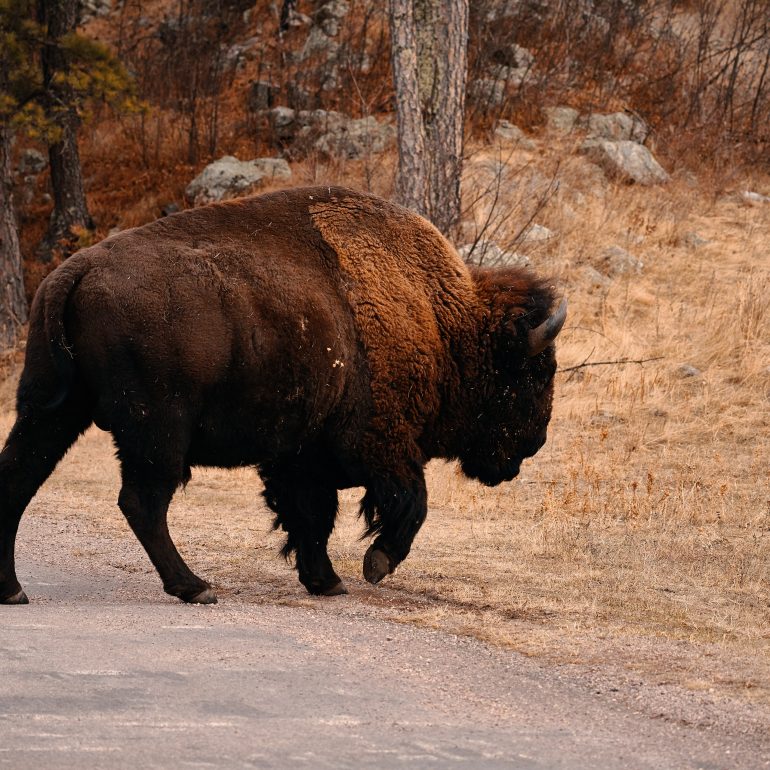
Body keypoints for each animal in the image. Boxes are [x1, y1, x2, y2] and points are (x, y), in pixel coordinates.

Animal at [0, 186, 565, 604]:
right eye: (533, 372)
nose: (535, 442)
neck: (446, 323)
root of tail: (74, 272)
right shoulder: (380, 446)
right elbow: (406, 504)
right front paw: (374, 566)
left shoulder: (300, 455)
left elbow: (310, 517)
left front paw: (326, 581)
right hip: (157, 431)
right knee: (142, 502)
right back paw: (195, 587)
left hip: (51, 411)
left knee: (21, 480)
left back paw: (14, 590)